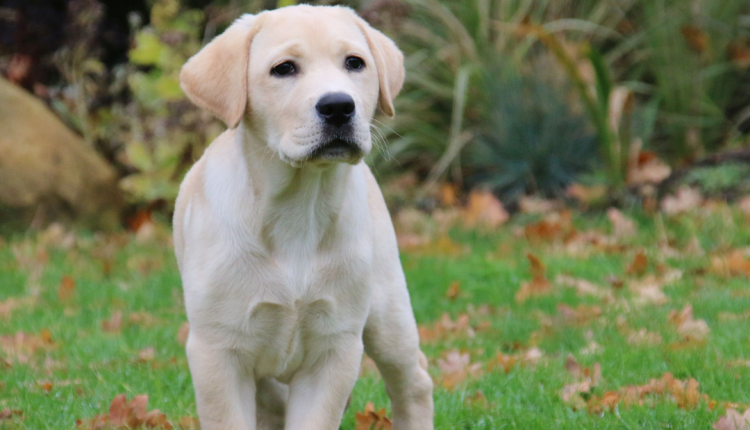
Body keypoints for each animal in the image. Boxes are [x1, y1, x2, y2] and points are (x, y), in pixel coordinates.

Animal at [173, 4, 434, 430]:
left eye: (354, 63)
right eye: (284, 69)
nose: (339, 106)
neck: (300, 205)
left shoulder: (334, 349)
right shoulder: (218, 352)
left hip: (386, 309)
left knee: (414, 381)